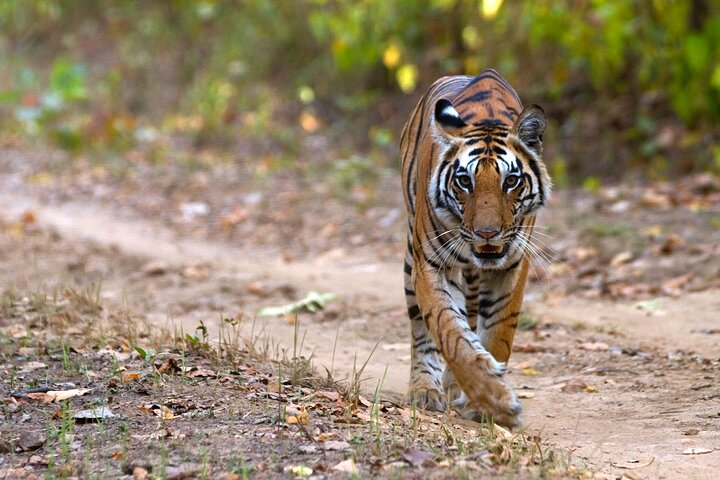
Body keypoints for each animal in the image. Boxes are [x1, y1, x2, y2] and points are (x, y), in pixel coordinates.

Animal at [400, 69, 551, 428]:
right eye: (464, 181)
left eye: (511, 181)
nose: (487, 233)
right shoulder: (430, 265)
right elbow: (449, 331)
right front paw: (493, 399)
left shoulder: (513, 265)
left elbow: (498, 333)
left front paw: (485, 405)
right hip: (412, 263)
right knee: (422, 331)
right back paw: (426, 389)